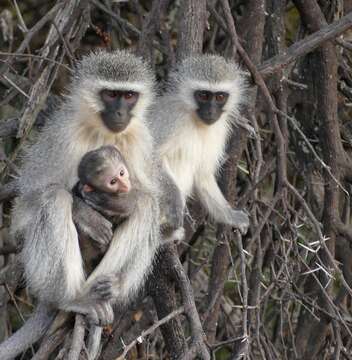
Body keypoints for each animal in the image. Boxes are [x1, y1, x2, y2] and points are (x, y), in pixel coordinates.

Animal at [0, 51, 162, 360]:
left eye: (129, 96)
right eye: (111, 94)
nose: (120, 114)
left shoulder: (141, 140)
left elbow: (149, 196)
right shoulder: (62, 134)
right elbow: (29, 203)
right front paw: (87, 214)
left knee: (147, 207)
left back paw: (107, 289)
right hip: (35, 260)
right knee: (54, 200)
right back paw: (72, 298)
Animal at [151, 53, 250, 233]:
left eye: (220, 97)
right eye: (203, 95)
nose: (211, 111)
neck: (196, 121)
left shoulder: (219, 130)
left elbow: (203, 173)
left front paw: (230, 216)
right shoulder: (171, 120)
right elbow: (150, 157)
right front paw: (176, 205)